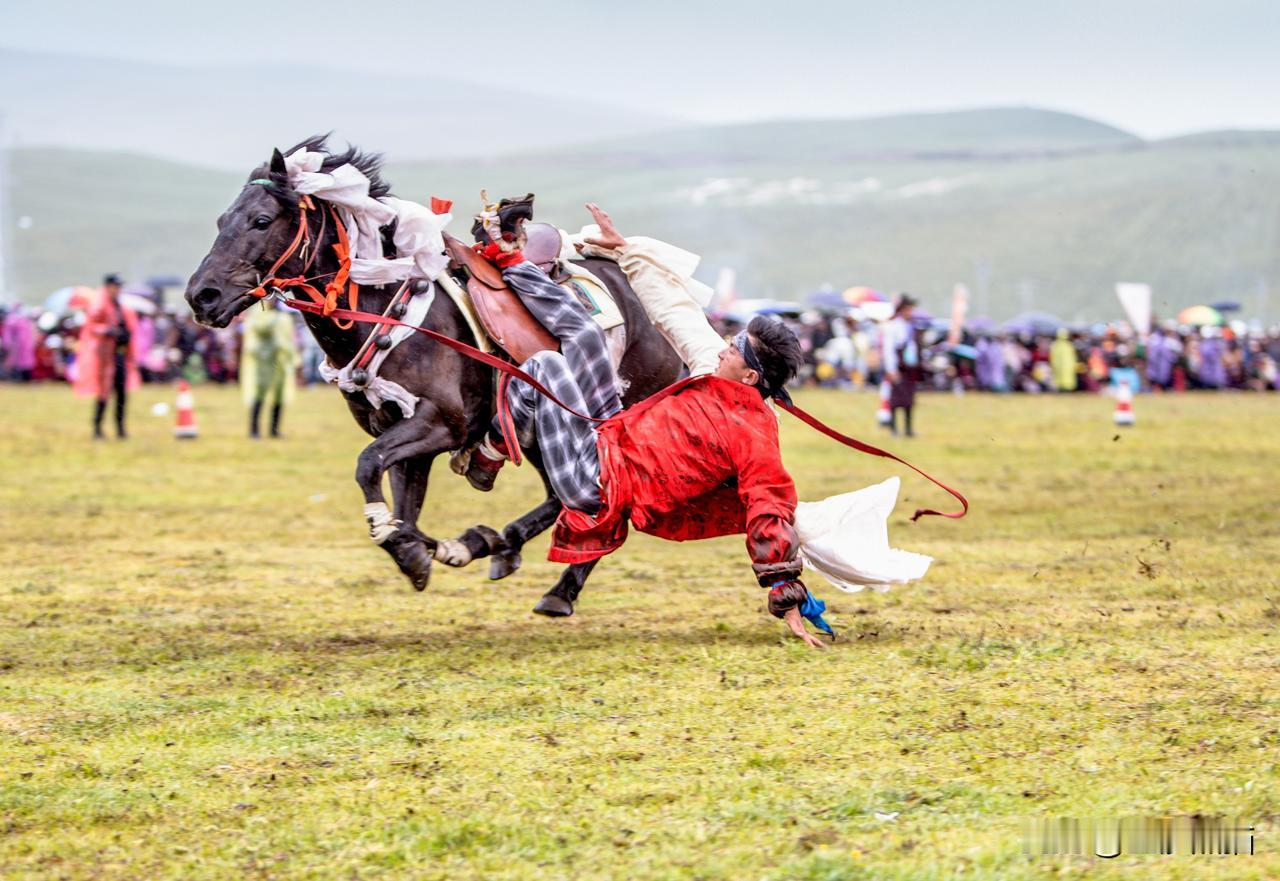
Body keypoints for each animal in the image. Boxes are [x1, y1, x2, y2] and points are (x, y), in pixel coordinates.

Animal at [185, 137, 686, 617]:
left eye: (261, 220)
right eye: (222, 221)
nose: (201, 296)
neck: (389, 310)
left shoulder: (442, 423)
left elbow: (368, 467)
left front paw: (419, 546)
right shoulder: (403, 432)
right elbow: (403, 509)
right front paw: (429, 548)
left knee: (600, 497)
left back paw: (558, 588)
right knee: (561, 497)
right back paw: (507, 548)